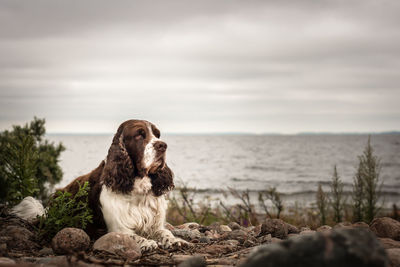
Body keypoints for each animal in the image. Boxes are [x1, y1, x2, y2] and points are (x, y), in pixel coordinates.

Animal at [12, 119, 188, 253]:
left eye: (157, 135)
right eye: (139, 134)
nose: (162, 145)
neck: (137, 186)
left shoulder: (155, 223)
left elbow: (165, 231)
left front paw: (175, 240)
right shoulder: (116, 227)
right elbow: (131, 235)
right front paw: (147, 242)